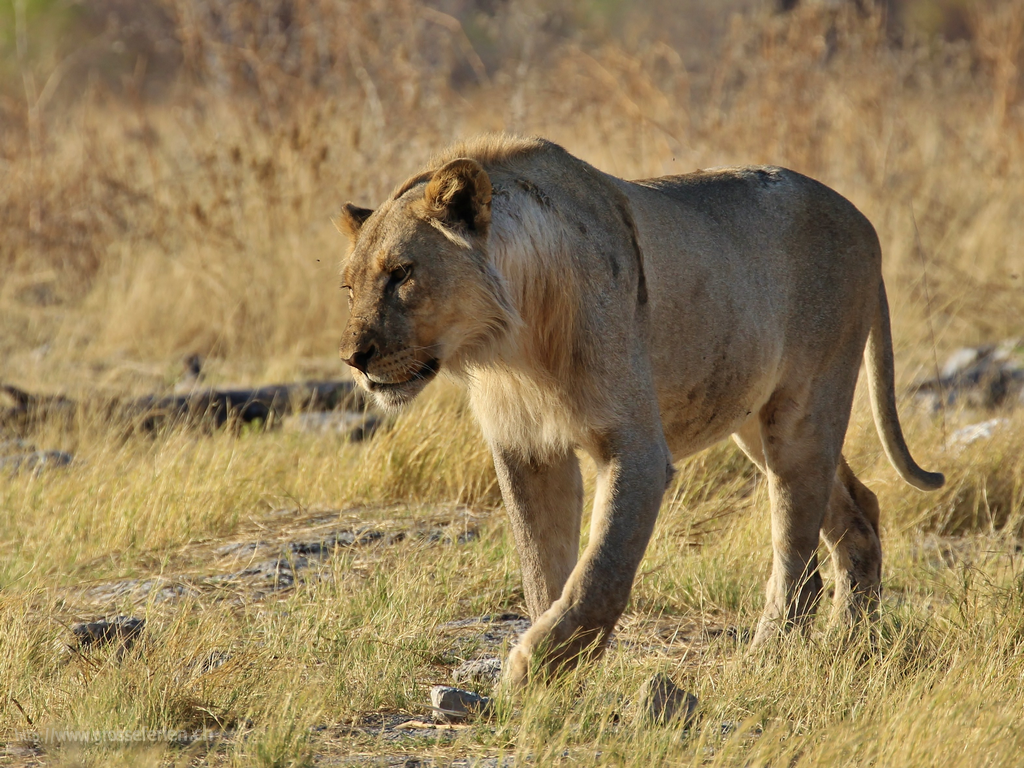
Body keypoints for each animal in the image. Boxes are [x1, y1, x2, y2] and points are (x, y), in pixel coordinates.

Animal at [335, 134, 944, 688]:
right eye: (349, 288)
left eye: (402, 273)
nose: (353, 358)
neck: (512, 343)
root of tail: (862, 219)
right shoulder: (526, 449)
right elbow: (542, 570)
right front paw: (556, 674)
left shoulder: (636, 448)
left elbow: (601, 571)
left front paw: (532, 669)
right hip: (757, 421)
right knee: (859, 508)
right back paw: (851, 642)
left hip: (804, 408)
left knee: (797, 546)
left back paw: (773, 655)